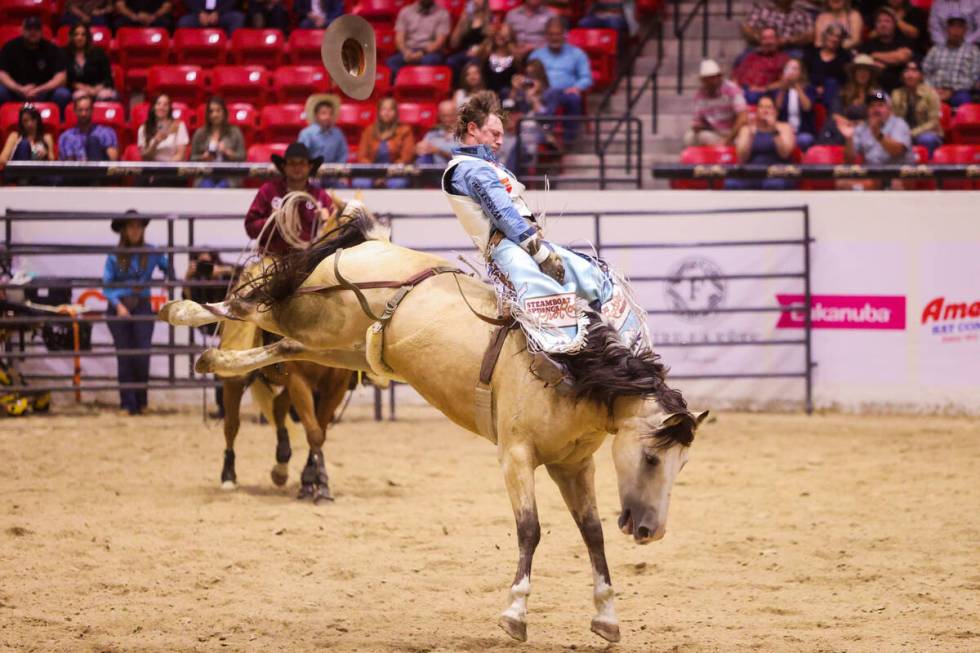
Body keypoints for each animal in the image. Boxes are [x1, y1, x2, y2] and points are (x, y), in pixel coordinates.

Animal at [159, 205, 704, 640]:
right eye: (651, 457)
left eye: (682, 466)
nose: (650, 530)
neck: (572, 371)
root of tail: (372, 243)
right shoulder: (516, 456)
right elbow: (530, 530)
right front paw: (515, 613)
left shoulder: (573, 467)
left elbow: (592, 533)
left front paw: (607, 617)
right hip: (314, 314)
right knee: (255, 306)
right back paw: (181, 309)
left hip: (338, 345)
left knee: (284, 345)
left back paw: (213, 360)